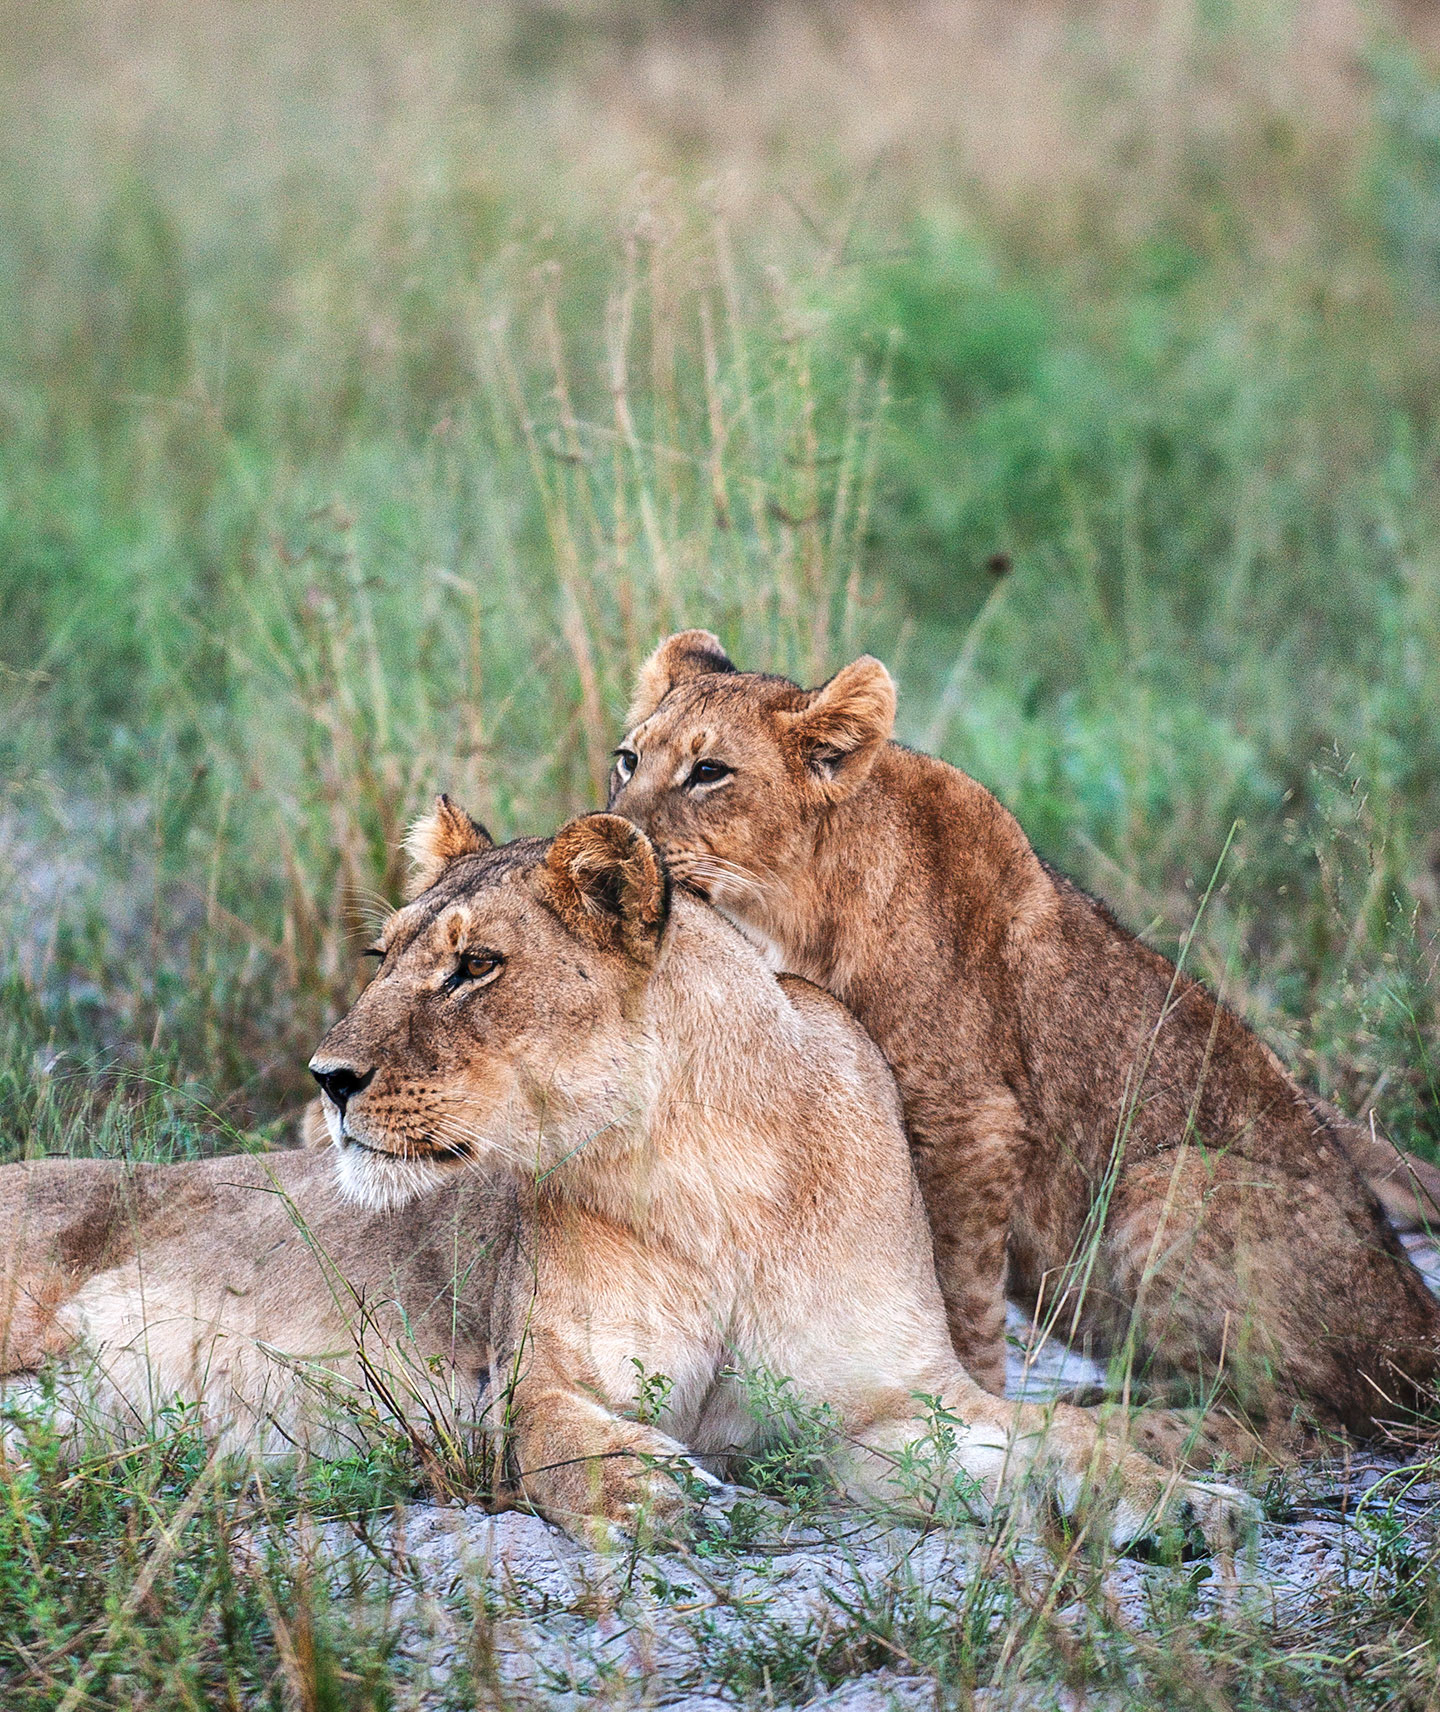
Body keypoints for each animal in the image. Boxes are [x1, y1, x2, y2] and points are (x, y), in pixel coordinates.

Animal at [302, 801, 1251, 1544]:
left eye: (475, 967)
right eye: (381, 958)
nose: (328, 1077)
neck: (715, 1180)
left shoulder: (892, 1405)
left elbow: (1062, 1438)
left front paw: (1186, 1501)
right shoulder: (545, 1376)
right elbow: (557, 1438)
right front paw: (653, 1494)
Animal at [607, 631, 1440, 1444]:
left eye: (709, 771)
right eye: (629, 759)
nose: (615, 834)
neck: (790, 905)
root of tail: (1420, 1323)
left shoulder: (970, 1120)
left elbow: (958, 1289)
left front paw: (963, 1403)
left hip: (1171, 1181)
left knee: (1299, 1423)